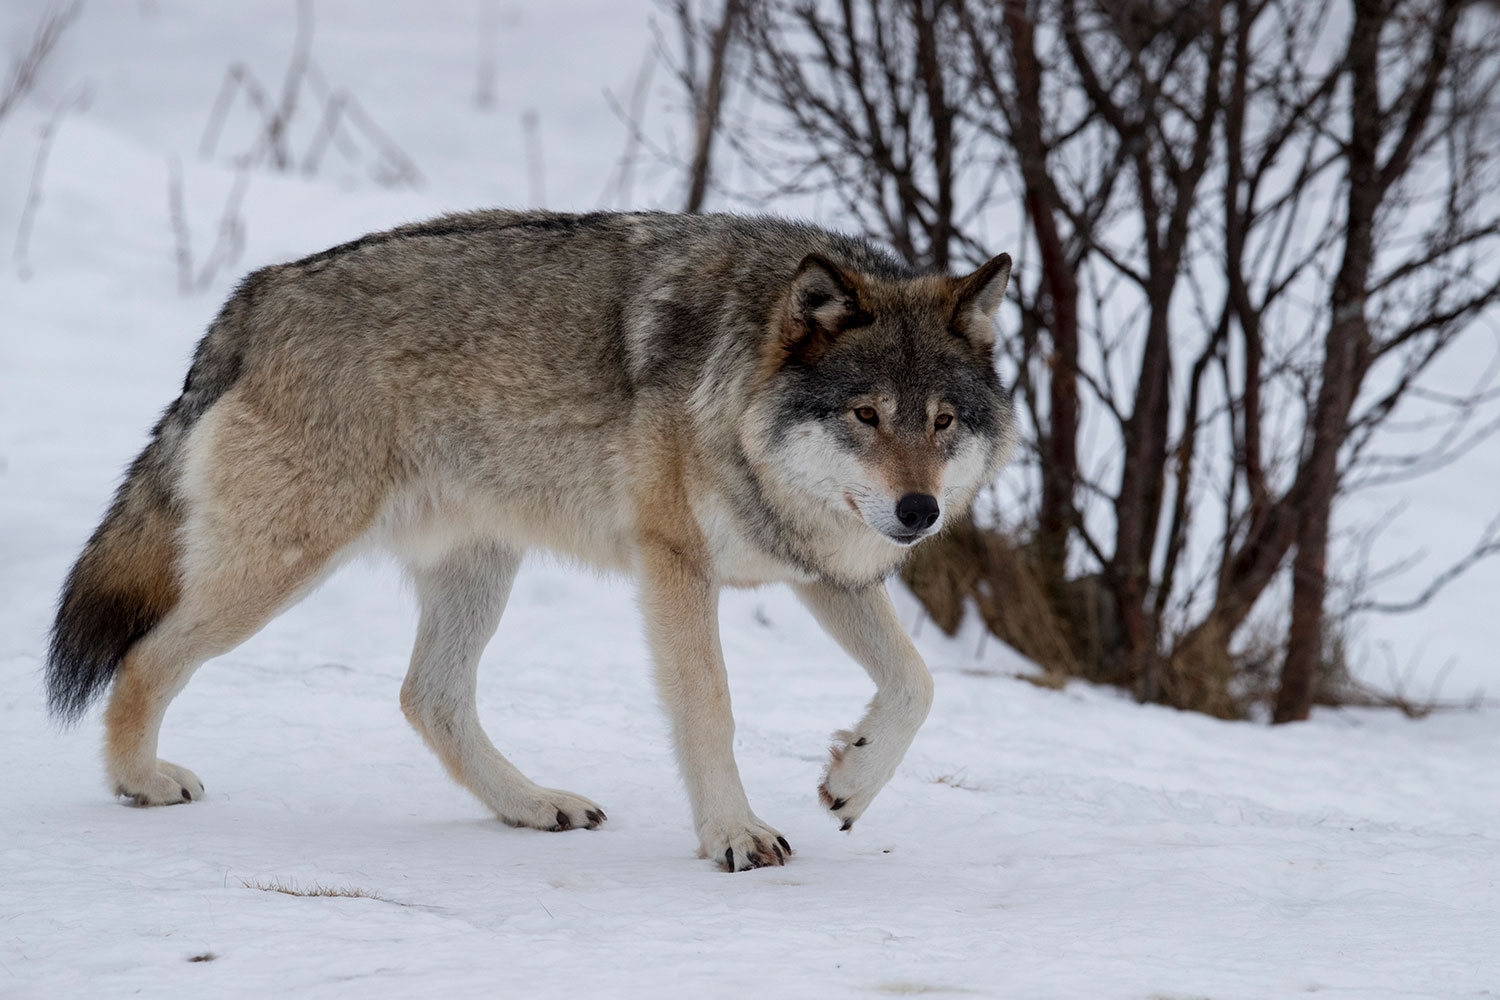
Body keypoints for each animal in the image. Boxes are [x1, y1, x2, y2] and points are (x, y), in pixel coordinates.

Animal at [43, 209, 1020, 869]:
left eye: (942, 421)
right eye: (866, 415)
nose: (919, 513)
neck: (737, 385)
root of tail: (256, 294)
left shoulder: (825, 573)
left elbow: (917, 684)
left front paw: (852, 778)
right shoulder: (675, 566)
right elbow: (711, 709)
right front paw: (734, 835)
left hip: (477, 568)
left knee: (427, 698)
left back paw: (532, 805)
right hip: (284, 566)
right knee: (147, 656)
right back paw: (139, 782)